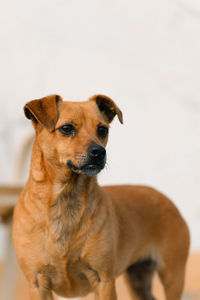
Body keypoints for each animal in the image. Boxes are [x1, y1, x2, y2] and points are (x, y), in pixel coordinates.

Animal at [13, 94, 190, 300]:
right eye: (66, 128)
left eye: (102, 130)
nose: (99, 151)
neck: (66, 200)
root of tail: (166, 199)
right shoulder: (38, 283)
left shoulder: (103, 281)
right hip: (138, 279)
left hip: (172, 276)